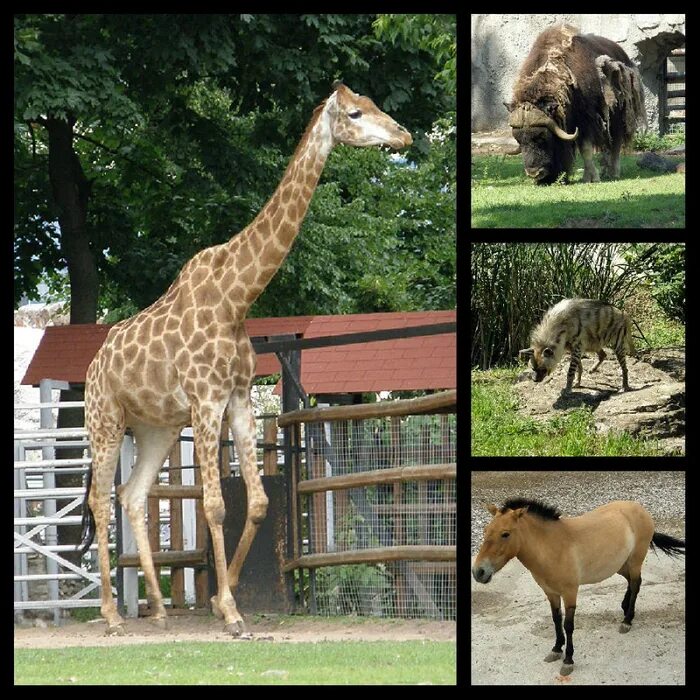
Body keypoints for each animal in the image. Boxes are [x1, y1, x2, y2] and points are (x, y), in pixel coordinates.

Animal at [79, 80, 412, 636]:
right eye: (354, 113)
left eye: (376, 104)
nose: (404, 134)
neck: (237, 299)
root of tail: (91, 367)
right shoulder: (206, 400)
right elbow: (215, 506)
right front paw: (232, 612)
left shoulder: (237, 398)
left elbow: (257, 503)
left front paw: (220, 599)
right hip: (104, 421)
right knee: (99, 502)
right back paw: (110, 615)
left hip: (155, 427)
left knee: (132, 496)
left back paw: (160, 610)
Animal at [470, 494, 684, 676]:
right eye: (485, 531)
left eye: (505, 534)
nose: (478, 572)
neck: (552, 547)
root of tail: (640, 509)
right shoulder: (551, 593)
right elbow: (556, 620)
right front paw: (556, 649)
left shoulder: (570, 592)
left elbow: (568, 625)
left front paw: (568, 660)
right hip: (620, 565)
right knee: (631, 582)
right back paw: (624, 609)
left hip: (635, 561)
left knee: (636, 583)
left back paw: (627, 620)